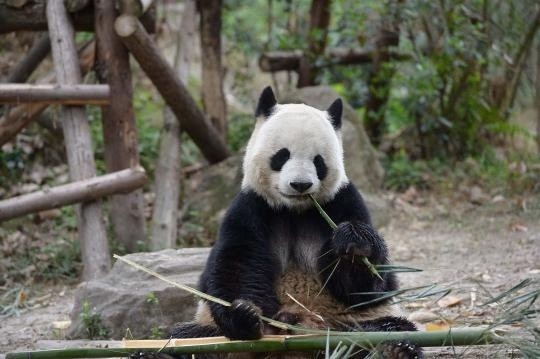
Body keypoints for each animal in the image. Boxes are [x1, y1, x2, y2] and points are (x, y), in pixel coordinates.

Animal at [167, 88, 420, 359]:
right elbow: (235, 266)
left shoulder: (343, 202)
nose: (300, 185)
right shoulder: (251, 208)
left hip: (348, 322)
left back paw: (394, 348)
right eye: (282, 156)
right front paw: (244, 316)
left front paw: (354, 244)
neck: (294, 210)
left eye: (318, 161)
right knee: (185, 337)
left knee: (386, 329)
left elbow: (364, 288)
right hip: (208, 332)